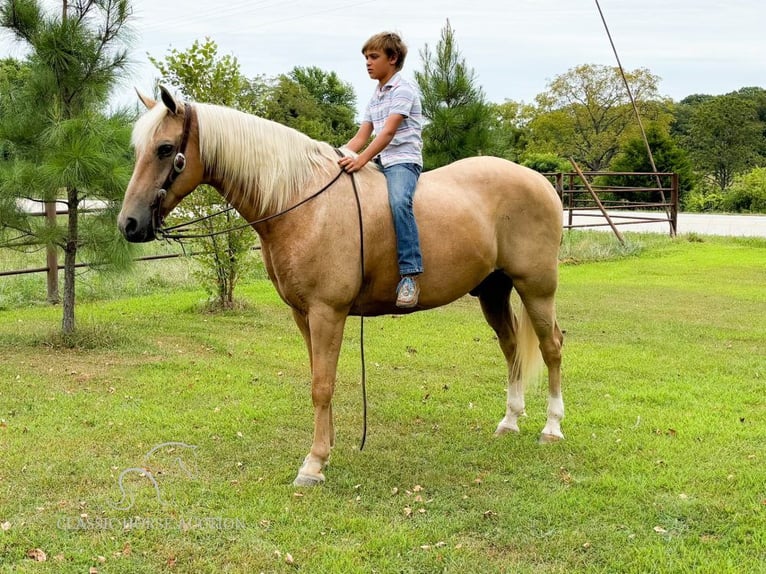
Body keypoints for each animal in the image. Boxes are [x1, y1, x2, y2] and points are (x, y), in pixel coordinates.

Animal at [118, 88, 564, 488]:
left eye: (165, 148)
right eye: (139, 148)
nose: (129, 224)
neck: (302, 202)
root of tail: (542, 182)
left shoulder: (327, 312)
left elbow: (322, 385)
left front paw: (314, 463)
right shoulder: (303, 314)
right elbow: (318, 377)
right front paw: (326, 446)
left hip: (536, 289)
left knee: (551, 347)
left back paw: (552, 428)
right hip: (493, 290)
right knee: (511, 347)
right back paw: (510, 420)